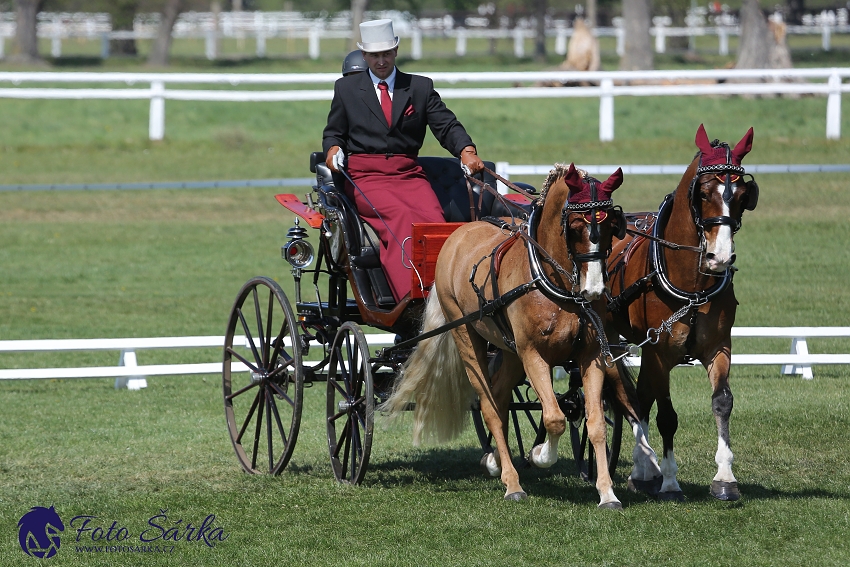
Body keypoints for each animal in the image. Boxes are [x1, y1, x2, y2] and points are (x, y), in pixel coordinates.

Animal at [380, 165, 660, 510]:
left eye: (611, 226)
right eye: (576, 226)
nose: (594, 289)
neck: (552, 280)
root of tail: (459, 233)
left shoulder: (592, 354)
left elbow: (595, 423)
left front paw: (607, 493)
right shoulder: (532, 354)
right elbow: (554, 418)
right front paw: (540, 454)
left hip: (509, 349)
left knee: (499, 398)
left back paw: (496, 462)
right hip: (467, 337)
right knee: (487, 404)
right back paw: (512, 483)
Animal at [608, 125, 760, 502]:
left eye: (742, 195)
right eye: (703, 193)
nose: (721, 257)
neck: (691, 283)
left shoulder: (718, 347)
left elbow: (722, 402)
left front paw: (725, 478)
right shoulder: (660, 352)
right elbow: (667, 416)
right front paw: (670, 482)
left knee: (640, 397)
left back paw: (643, 468)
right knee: (634, 399)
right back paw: (646, 470)